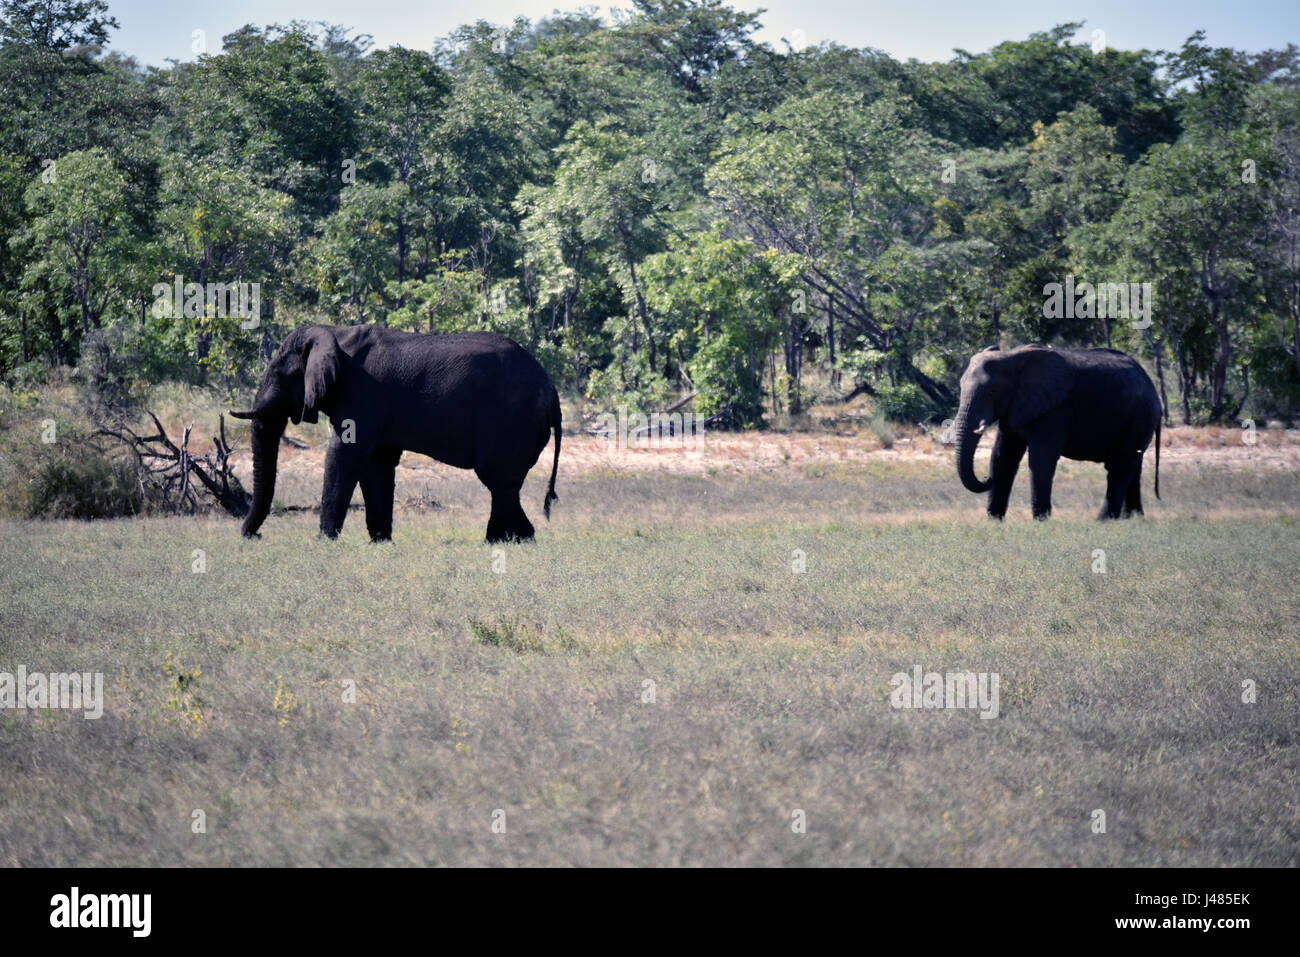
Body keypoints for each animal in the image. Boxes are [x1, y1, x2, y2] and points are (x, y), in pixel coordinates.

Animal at [233, 325, 559, 540]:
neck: (334, 334)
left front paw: (323, 542)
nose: (253, 536)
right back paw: (521, 539)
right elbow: (376, 464)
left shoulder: (362, 393)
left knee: (498, 481)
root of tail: (550, 388)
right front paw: (380, 542)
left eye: (278, 374)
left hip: (511, 423)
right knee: (504, 486)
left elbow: (344, 454)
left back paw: (501, 541)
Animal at [956, 343, 1159, 520]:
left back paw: (1103, 522)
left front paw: (1041, 522)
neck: (1012, 356)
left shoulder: (1054, 409)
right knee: (1133, 467)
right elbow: (1003, 457)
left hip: (1140, 416)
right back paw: (1133, 519)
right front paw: (994, 521)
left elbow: (1041, 460)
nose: (986, 477)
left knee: (1119, 468)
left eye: (992, 391)